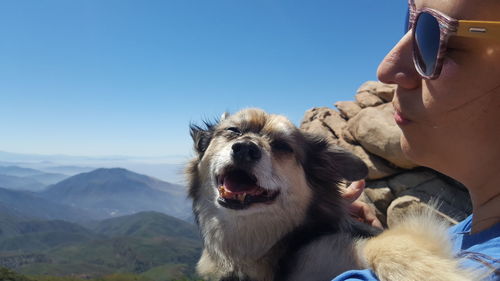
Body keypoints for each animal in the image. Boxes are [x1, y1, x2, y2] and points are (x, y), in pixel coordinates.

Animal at [187, 107, 476, 280]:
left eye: (283, 146)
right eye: (233, 131)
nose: (245, 148)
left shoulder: (330, 250)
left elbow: (388, 246)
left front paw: (431, 273)